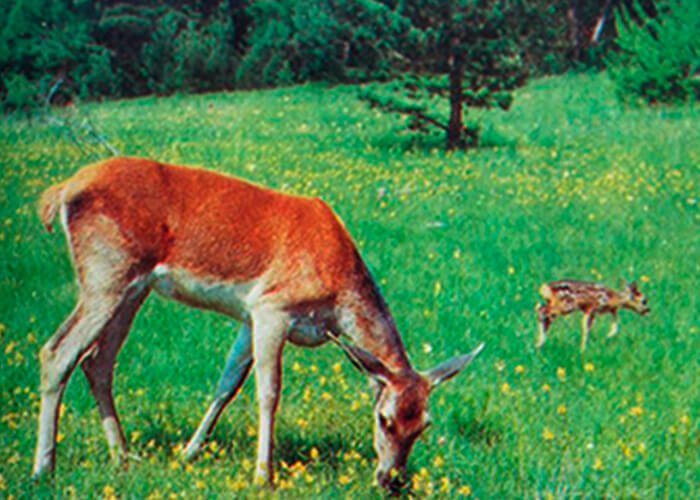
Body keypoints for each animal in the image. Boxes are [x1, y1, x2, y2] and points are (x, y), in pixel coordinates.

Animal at [33, 157, 484, 491]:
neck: (335, 298)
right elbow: (268, 392)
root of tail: (61, 192)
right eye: (384, 419)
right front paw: (262, 475)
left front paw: (189, 452)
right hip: (105, 275)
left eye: (424, 425)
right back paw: (43, 469)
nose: (392, 480)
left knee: (98, 361)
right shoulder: (273, 307)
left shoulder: (249, 317)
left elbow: (228, 382)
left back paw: (124, 456)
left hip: (131, 289)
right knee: (57, 351)